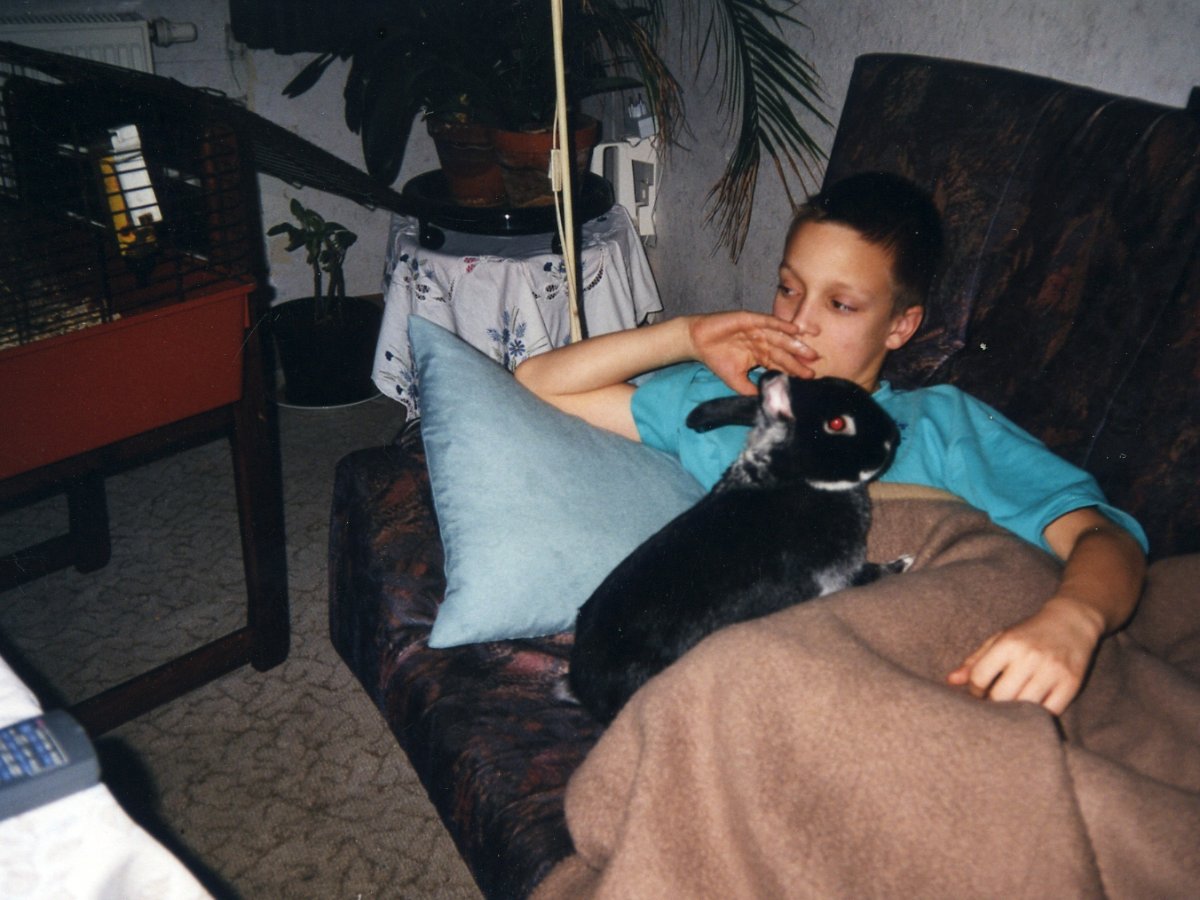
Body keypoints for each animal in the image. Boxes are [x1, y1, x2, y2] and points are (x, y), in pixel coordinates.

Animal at [568, 372, 908, 724]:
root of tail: (582, 688)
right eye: (838, 423)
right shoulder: (835, 576)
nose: (893, 439)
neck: (795, 479)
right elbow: (869, 575)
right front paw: (902, 563)